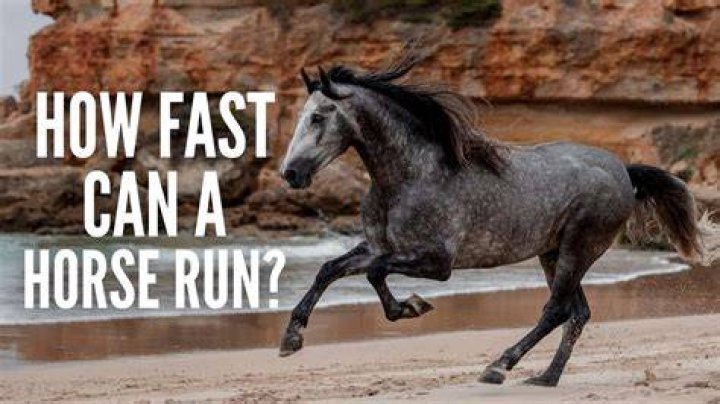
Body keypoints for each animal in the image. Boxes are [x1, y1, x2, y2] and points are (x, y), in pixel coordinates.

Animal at [276, 58, 719, 387]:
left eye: (318, 117)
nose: (290, 173)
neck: (410, 174)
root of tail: (623, 170)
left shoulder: (437, 262)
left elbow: (374, 273)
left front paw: (411, 307)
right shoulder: (379, 245)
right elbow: (330, 269)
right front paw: (291, 338)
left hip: (578, 249)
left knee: (556, 310)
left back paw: (499, 367)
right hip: (553, 252)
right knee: (576, 314)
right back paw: (545, 378)